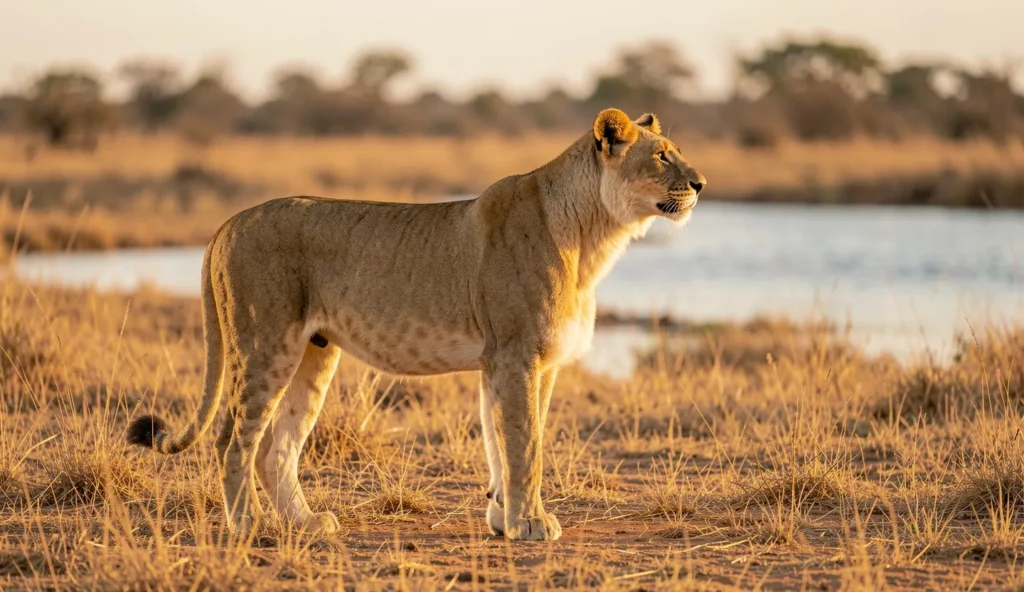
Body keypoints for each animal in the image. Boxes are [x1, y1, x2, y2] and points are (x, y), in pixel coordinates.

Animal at [127, 108, 706, 541]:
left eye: (676, 149)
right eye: (660, 155)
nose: (701, 183)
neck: (595, 238)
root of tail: (227, 223)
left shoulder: (507, 364)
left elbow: (500, 445)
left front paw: (503, 520)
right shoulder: (520, 356)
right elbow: (527, 445)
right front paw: (530, 524)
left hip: (314, 352)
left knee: (276, 448)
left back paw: (307, 524)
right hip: (265, 344)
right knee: (233, 439)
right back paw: (249, 526)